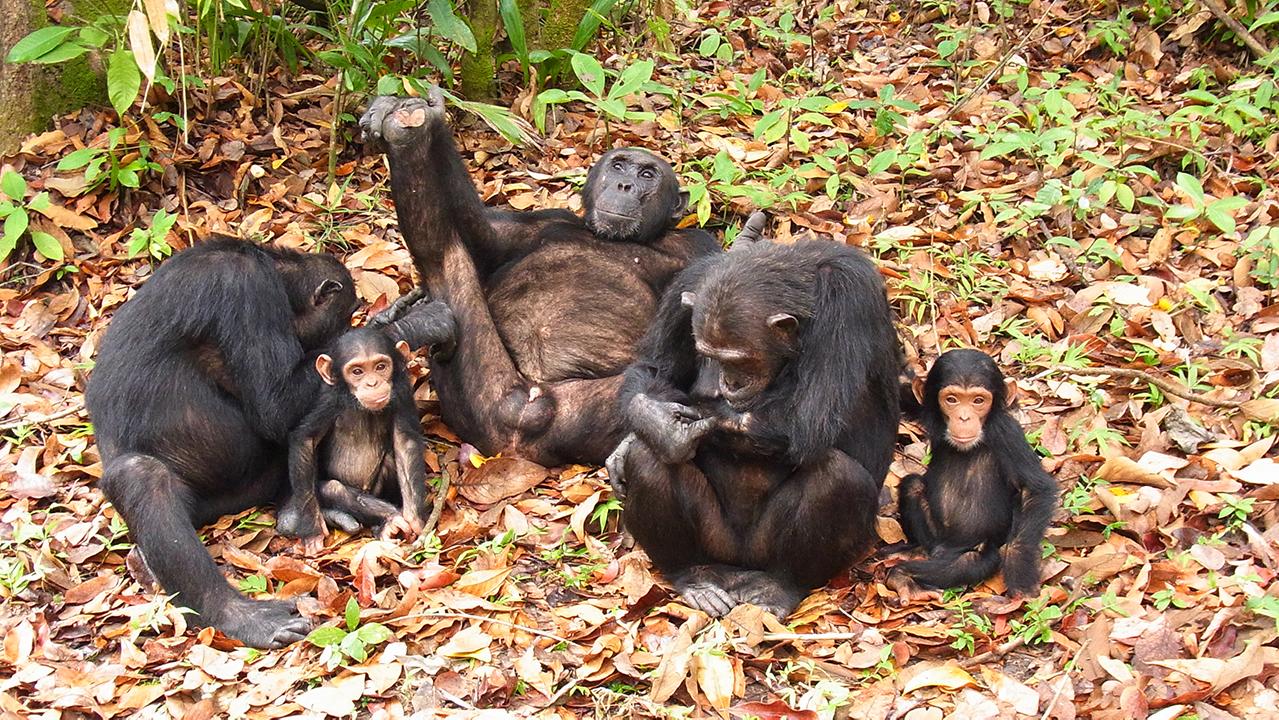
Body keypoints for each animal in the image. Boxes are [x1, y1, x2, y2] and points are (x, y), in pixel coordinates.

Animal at [88, 236, 360, 647]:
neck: (273, 269)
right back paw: (242, 617)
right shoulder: (245, 289)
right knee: (141, 478)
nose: (346, 325)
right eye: (345, 317)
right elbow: (275, 404)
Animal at [280, 329, 434, 549]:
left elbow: (404, 443)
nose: (372, 383)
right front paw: (312, 530)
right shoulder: (328, 401)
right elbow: (306, 440)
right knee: (333, 489)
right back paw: (391, 518)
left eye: (380, 367)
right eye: (357, 371)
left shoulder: (403, 392)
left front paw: (415, 519)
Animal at [358, 87, 721, 468]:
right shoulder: (541, 222)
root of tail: (521, 423)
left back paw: (656, 422)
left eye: (648, 175)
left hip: (571, 418)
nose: (625, 185)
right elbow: (481, 238)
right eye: (619, 165)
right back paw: (406, 137)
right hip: (480, 398)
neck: (621, 238)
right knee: (445, 252)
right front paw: (430, 116)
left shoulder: (698, 245)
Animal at [895, 350, 1053, 598]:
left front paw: (1020, 571)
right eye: (952, 399)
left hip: (976, 548)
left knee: (970, 562)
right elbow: (901, 389)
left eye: (978, 401)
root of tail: (944, 548)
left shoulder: (1008, 434)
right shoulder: (922, 406)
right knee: (913, 486)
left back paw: (903, 574)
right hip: (935, 537)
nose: (964, 417)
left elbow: (1034, 490)